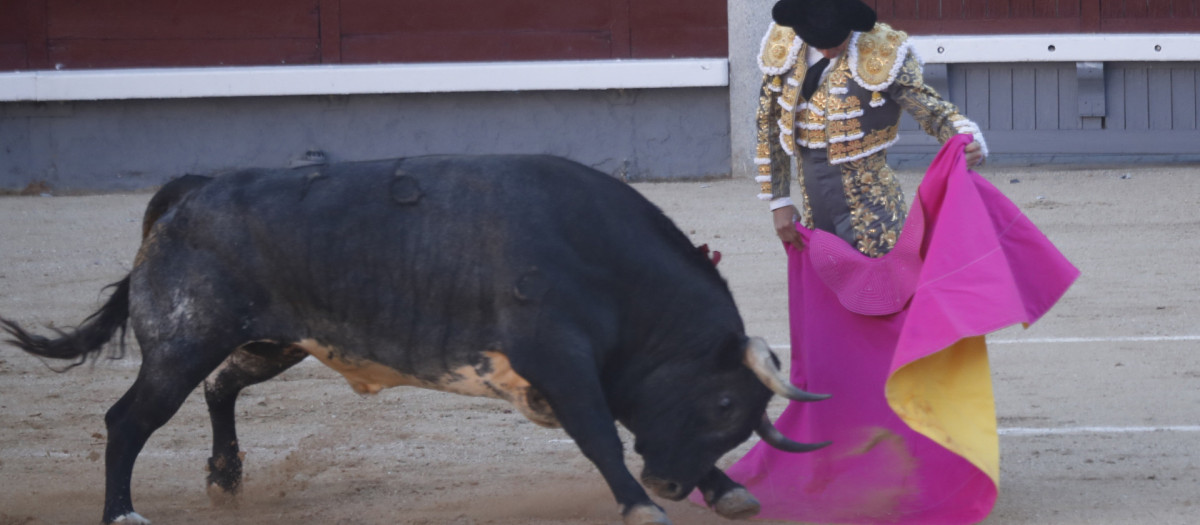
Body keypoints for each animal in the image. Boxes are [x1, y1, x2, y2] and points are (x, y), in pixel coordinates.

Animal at [2, 154, 825, 525]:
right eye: (724, 403)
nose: (670, 486)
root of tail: (192, 190)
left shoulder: (603, 368)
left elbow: (626, 422)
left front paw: (726, 490)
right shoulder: (561, 359)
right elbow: (600, 435)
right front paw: (638, 505)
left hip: (273, 340)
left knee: (221, 385)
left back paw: (227, 478)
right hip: (182, 340)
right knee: (128, 419)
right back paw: (122, 512)